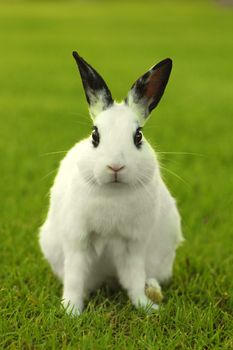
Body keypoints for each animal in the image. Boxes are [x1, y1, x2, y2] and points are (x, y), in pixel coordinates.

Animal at [38, 52, 184, 318]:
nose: (115, 166)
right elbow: (75, 278)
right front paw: (71, 310)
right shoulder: (78, 240)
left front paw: (146, 307)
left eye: (138, 136)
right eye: (95, 135)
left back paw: (153, 290)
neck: (113, 192)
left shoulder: (133, 243)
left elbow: (134, 278)